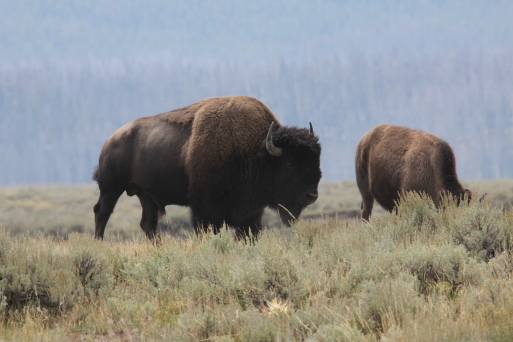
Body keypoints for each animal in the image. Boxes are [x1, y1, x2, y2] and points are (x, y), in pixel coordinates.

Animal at [92, 96, 320, 239]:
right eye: (290, 164)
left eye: (316, 160)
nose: (311, 196)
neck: (256, 151)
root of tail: (110, 140)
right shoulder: (206, 210)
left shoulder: (250, 214)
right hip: (111, 188)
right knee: (102, 212)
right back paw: (99, 243)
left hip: (145, 195)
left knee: (148, 224)